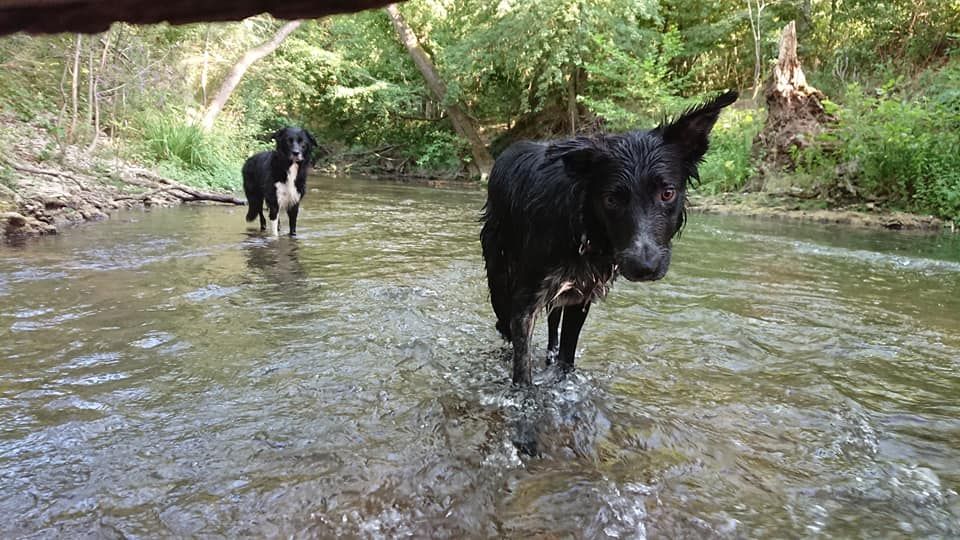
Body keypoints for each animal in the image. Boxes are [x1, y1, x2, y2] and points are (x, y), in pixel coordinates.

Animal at [484, 89, 740, 384]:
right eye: (611, 199)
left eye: (667, 193)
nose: (645, 267)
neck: (582, 227)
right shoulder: (525, 301)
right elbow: (522, 364)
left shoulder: (580, 297)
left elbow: (566, 357)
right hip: (499, 272)